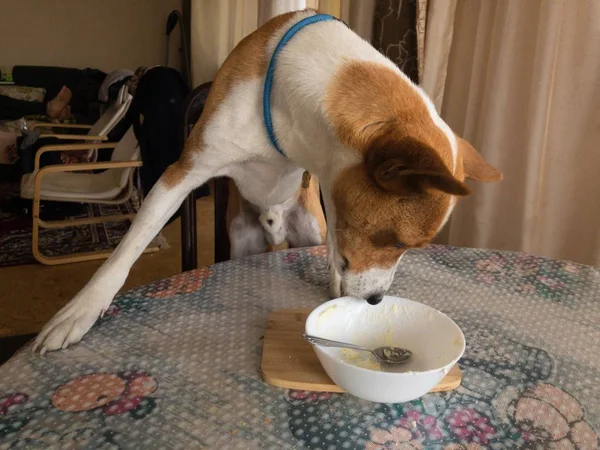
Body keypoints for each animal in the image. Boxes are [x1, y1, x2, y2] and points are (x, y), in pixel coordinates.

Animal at [34, 8, 502, 354]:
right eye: (398, 242)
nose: (374, 301)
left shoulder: (328, 185)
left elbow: (336, 240)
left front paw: (336, 277)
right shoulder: (184, 172)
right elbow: (128, 248)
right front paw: (81, 310)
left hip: (306, 225)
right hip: (241, 236)